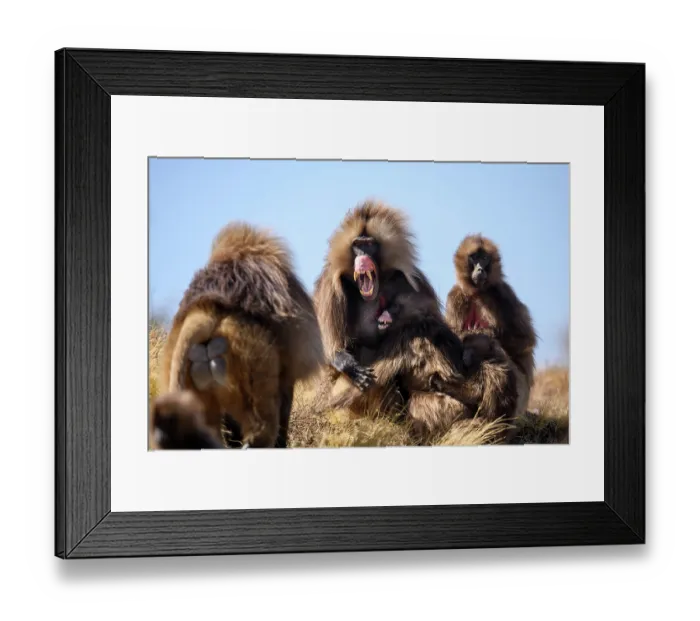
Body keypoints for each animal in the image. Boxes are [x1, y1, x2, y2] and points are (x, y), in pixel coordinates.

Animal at [313, 200, 517, 443]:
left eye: (369, 245)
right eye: (357, 245)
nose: (362, 258)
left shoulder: (414, 283)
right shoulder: (330, 287)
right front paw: (346, 363)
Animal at [445, 234, 538, 423]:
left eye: (484, 258)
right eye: (474, 257)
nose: (480, 269)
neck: (477, 293)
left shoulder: (503, 293)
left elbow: (525, 340)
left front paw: (484, 334)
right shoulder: (455, 296)